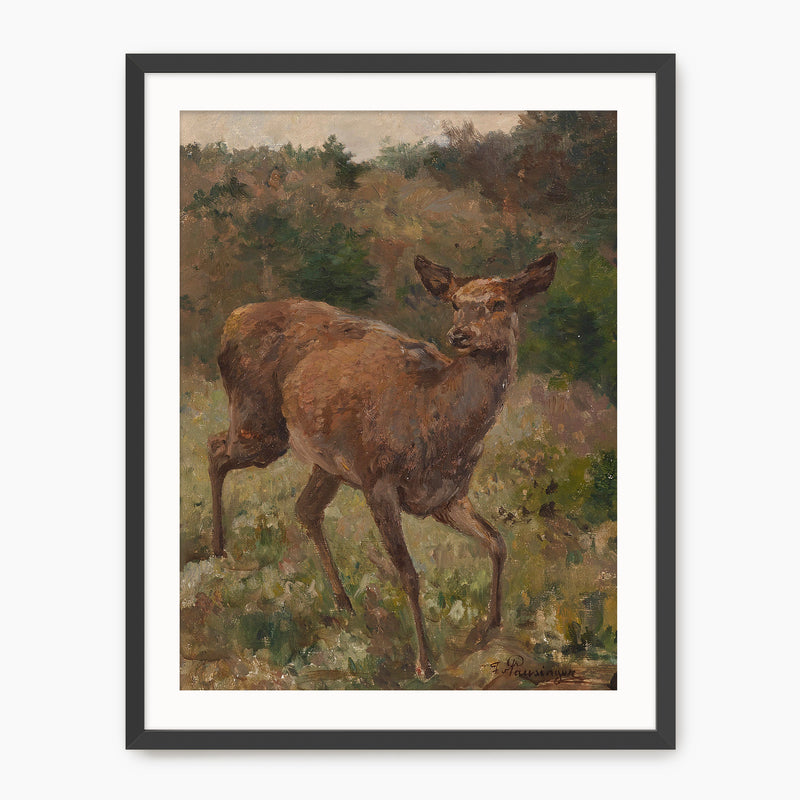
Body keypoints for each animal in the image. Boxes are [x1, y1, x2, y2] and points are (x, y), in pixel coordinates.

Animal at [207, 251, 557, 678]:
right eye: (455, 303)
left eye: (499, 303)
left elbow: (497, 542)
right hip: (259, 424)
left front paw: (489, 626)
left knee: (305, 508)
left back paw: (343, 602)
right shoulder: (379, 481)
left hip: (327, 461)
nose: (459, 335)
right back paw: (218, 550)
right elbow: (408, 574)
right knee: (215, 448)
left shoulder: (448, 497)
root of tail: (233, 317)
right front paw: (424, 663)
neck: (441, 422)